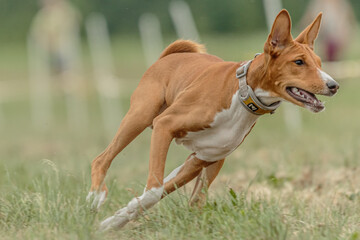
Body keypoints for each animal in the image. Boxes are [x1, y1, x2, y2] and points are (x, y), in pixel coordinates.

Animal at [86, 9, 338, 231]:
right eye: (299, 62)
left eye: (319, 62)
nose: (333, 85)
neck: (242, 95)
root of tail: (169, 55)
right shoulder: (165, 126)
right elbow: (153, 191)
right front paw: (115, 218)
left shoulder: (206, 159)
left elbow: (188, 200)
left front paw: (113, 221)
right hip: (141, 115)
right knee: (101, 159)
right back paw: (95, 197)